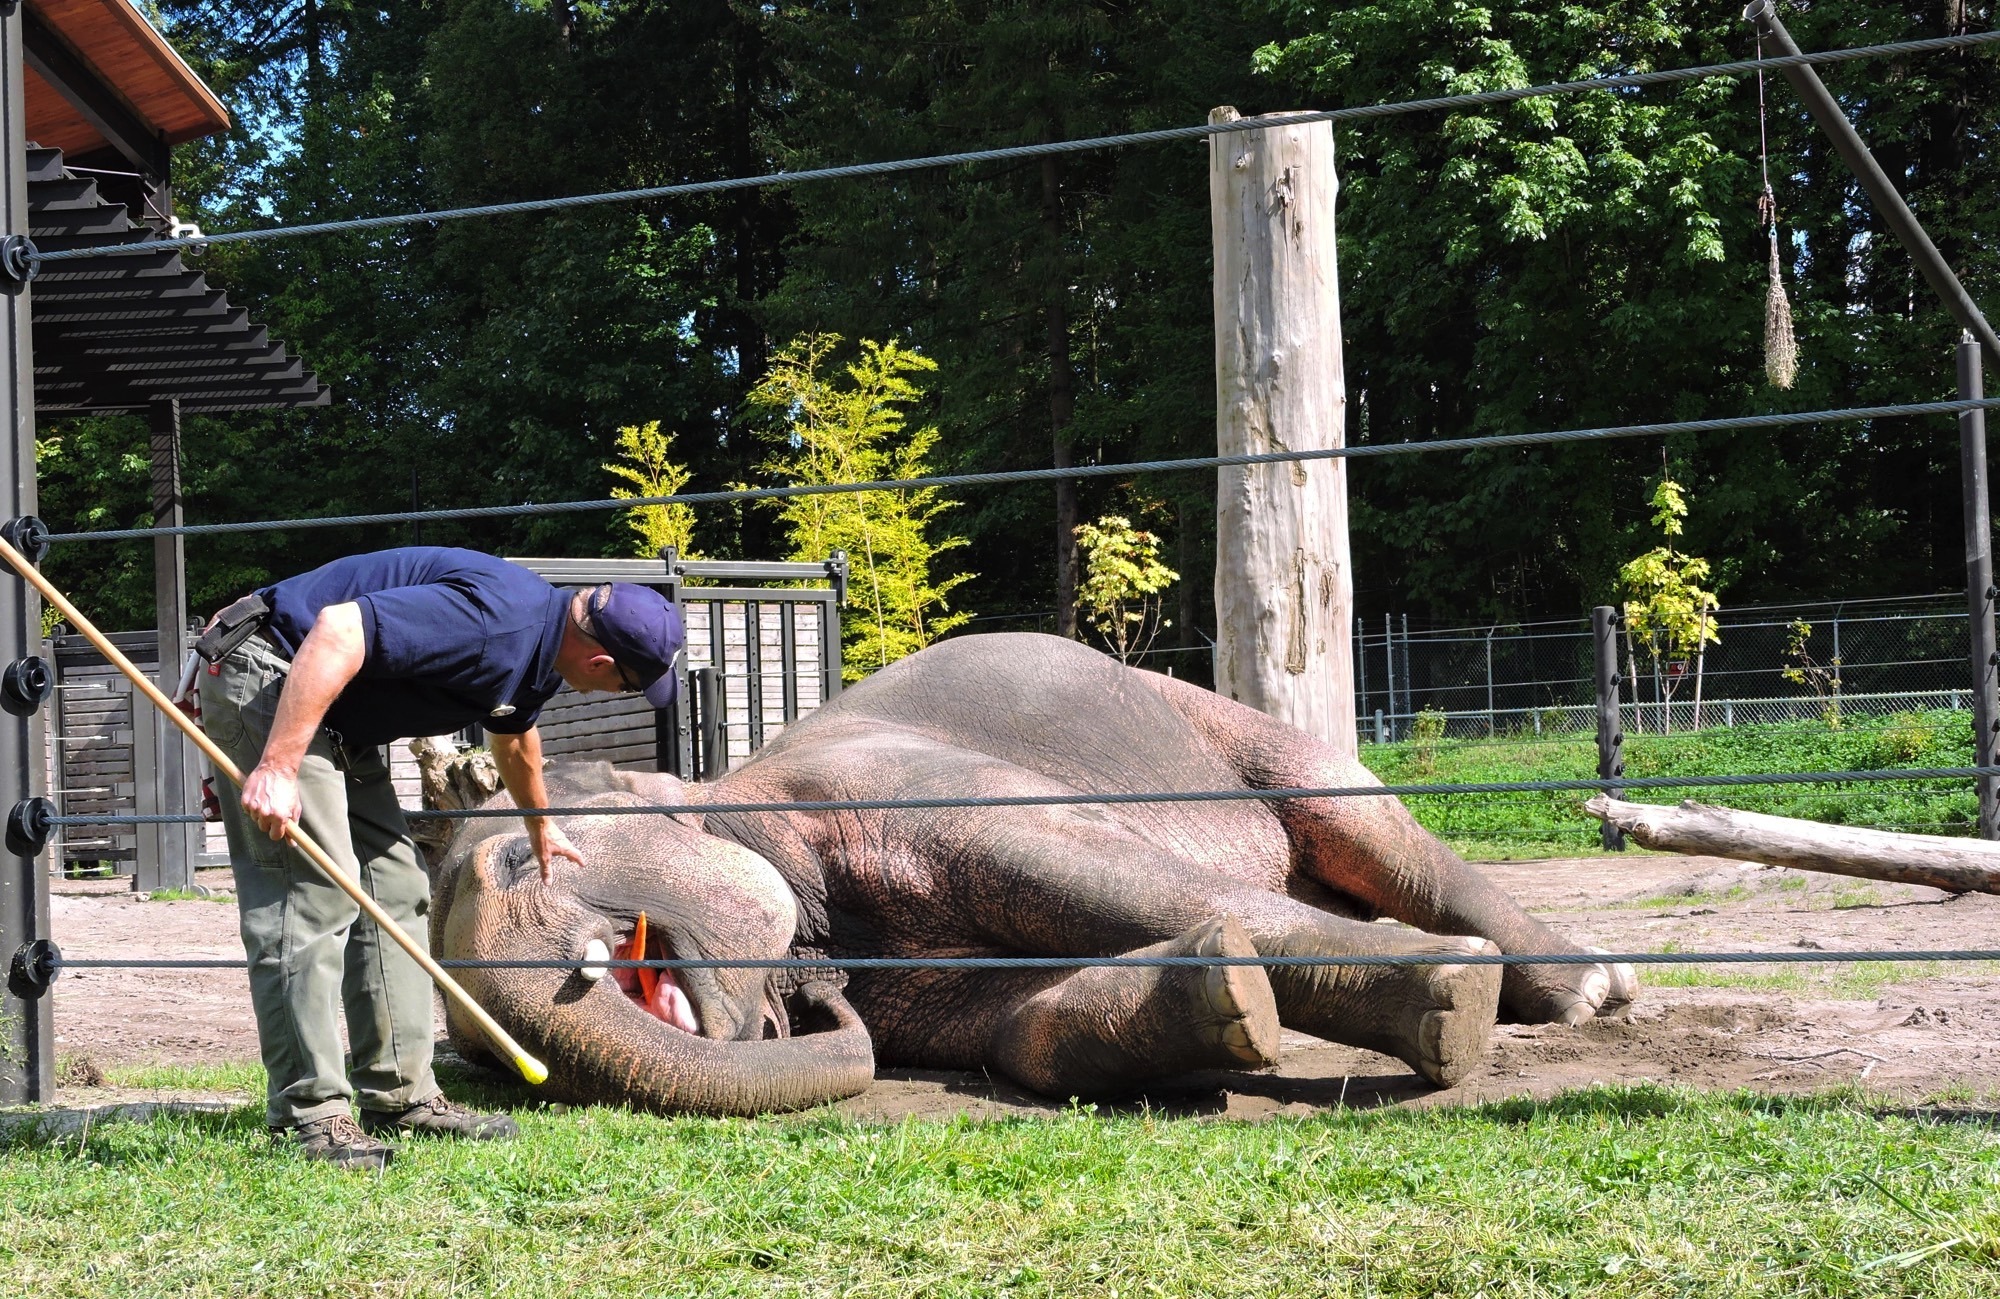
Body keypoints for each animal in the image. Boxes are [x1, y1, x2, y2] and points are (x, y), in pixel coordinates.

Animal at [434, 631, 1624, 1111]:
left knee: (1369, 827)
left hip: (1242, 731)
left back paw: (1584, 990)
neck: (736, 791)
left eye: (514, 857)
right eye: (478, 1059)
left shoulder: (909, 789)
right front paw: (1223, 997)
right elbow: (1023, 1031)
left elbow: (1140, 889)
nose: (814, 1002)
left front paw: (1453, 1003)